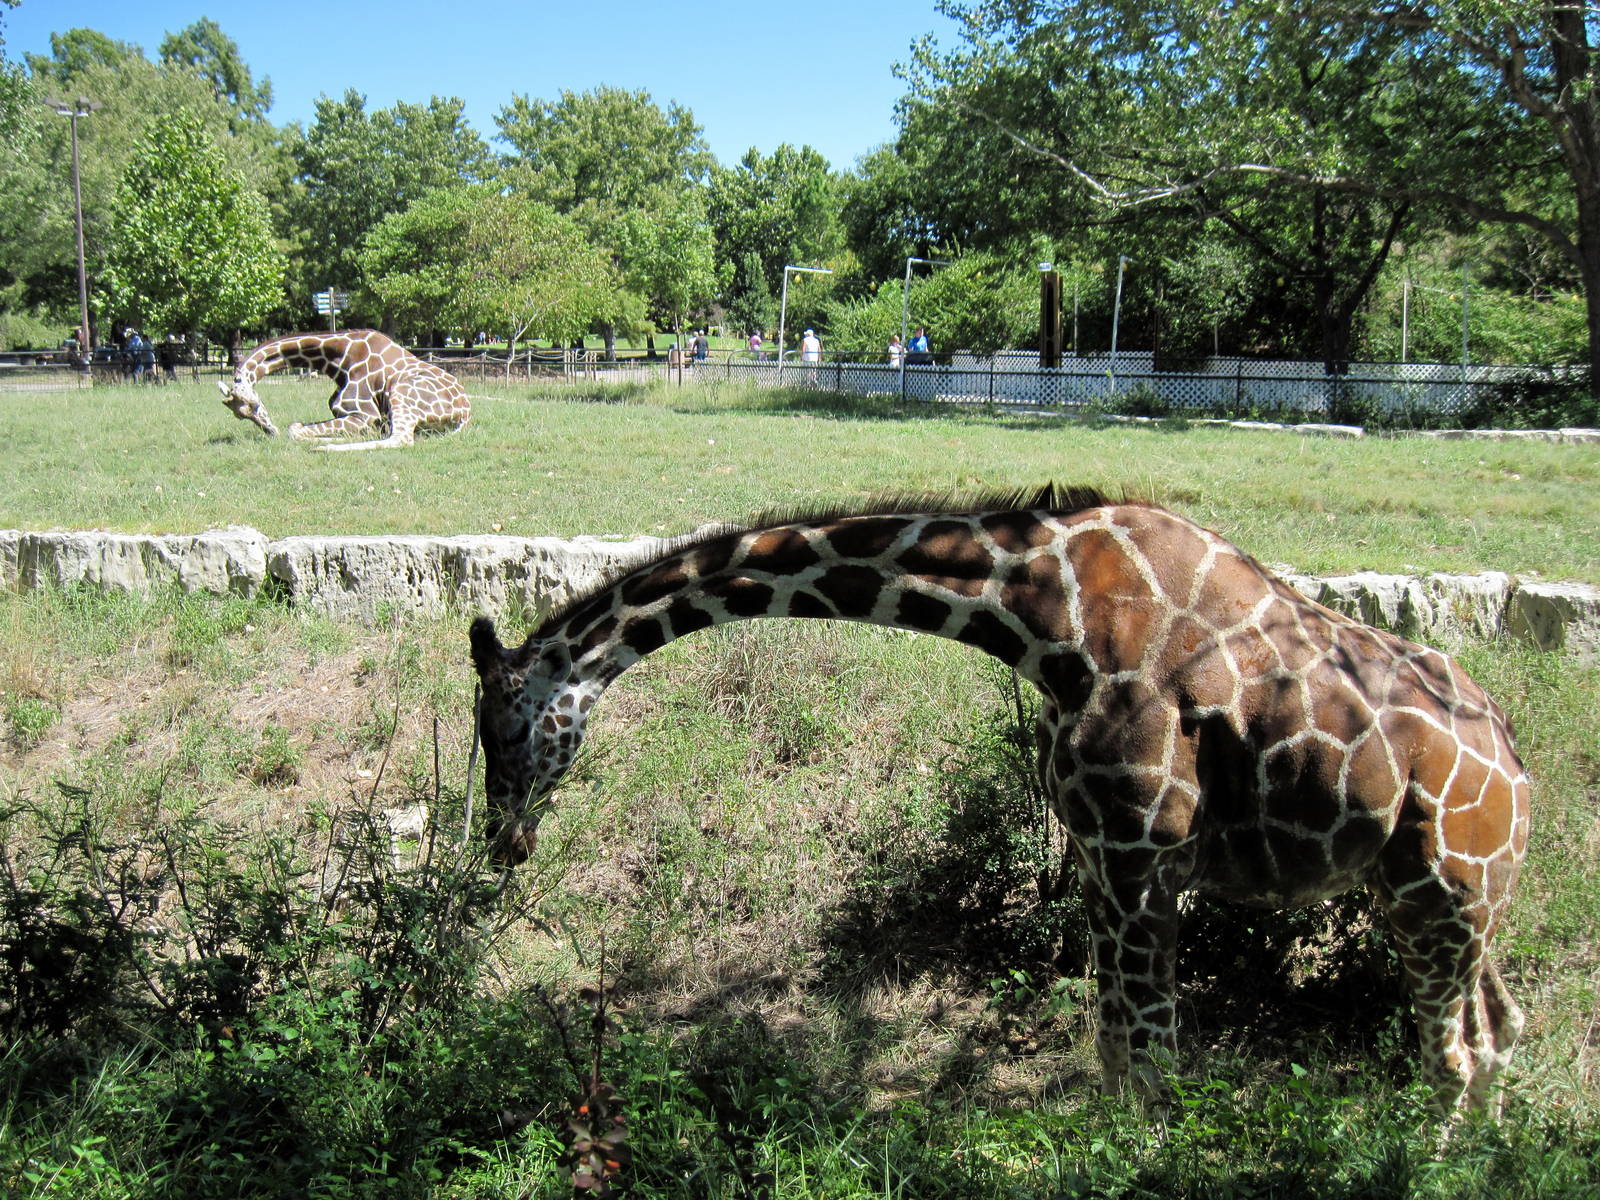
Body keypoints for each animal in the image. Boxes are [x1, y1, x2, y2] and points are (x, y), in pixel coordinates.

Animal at [216, 329, 470, 450]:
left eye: (255, 404)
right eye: (240, 416)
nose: (270, 431)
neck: (337, 359)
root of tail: (465, 413)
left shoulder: (365, 415)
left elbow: (294, 429)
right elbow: (297, 427)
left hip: (402, 391)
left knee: (401, 438)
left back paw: (324, 447)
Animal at [468, 485, 1530, 1117]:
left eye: (506, 728)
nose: (504, 842)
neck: (1046, 614)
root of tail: (1518, 773)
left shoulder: (1144, 853)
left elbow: (1152, 1061)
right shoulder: (1101, 858)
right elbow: (1114, 1051)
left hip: (1446, 893)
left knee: (1454, 1054)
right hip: (1428, 901)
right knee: (1500, 1032)